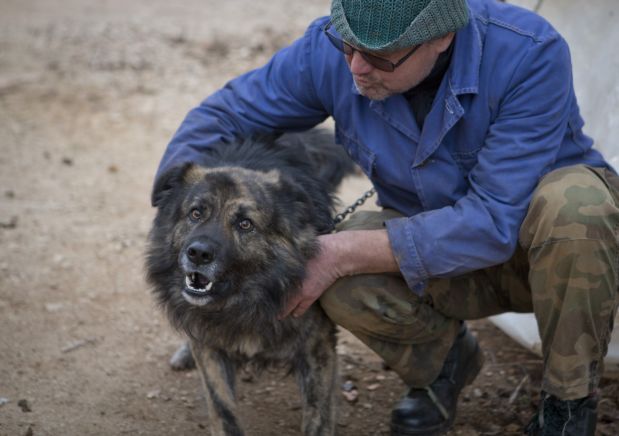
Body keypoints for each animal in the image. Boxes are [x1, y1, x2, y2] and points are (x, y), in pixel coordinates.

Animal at [146, 130, 356, 436]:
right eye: (196, 213)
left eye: (245, 224)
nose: (198, 254)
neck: (244, 299)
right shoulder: (210, 348)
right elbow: (223, 411)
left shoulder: (317, 347)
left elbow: (318, 417)